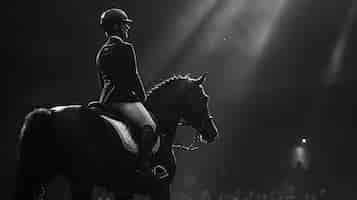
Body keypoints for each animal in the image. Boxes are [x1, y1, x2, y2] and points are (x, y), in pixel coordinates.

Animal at [12, 73, 218, 198]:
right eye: (204, 98)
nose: (212, 133)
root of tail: (50, 113)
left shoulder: (123, 189)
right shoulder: (161, 188)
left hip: (42, 173)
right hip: (81, 180)